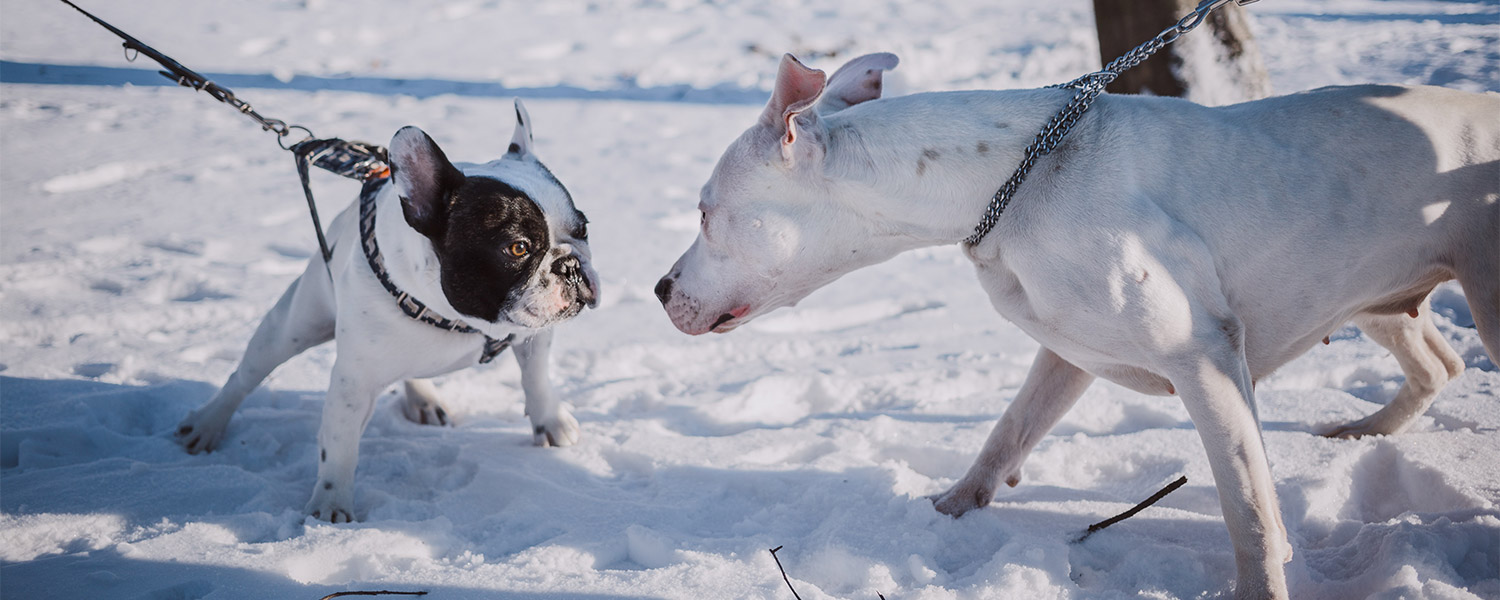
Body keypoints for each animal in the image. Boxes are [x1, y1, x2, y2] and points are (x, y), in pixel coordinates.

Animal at [175, 100, 597, 522]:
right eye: (518, 248)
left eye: (584, 228)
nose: (571, 265)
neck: (457, 318)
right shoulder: (354, 381)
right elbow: (340, 444)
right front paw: (330, 508)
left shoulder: (536, 333)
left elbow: (537, 378)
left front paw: (551, 423)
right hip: (293, 325)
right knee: (246, 376)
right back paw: (206, 426)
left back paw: (424, 399)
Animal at [657, 54, 1500, 597]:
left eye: (703, 212)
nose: (660, 288)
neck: (1002, 181)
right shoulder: (1064, 353)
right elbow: (1008, 431)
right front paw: (948, 512)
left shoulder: (1205, 360)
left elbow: (1249, 510)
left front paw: (1259, 585)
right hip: (1373, 296)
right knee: (1438, 363)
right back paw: (1363, 432)